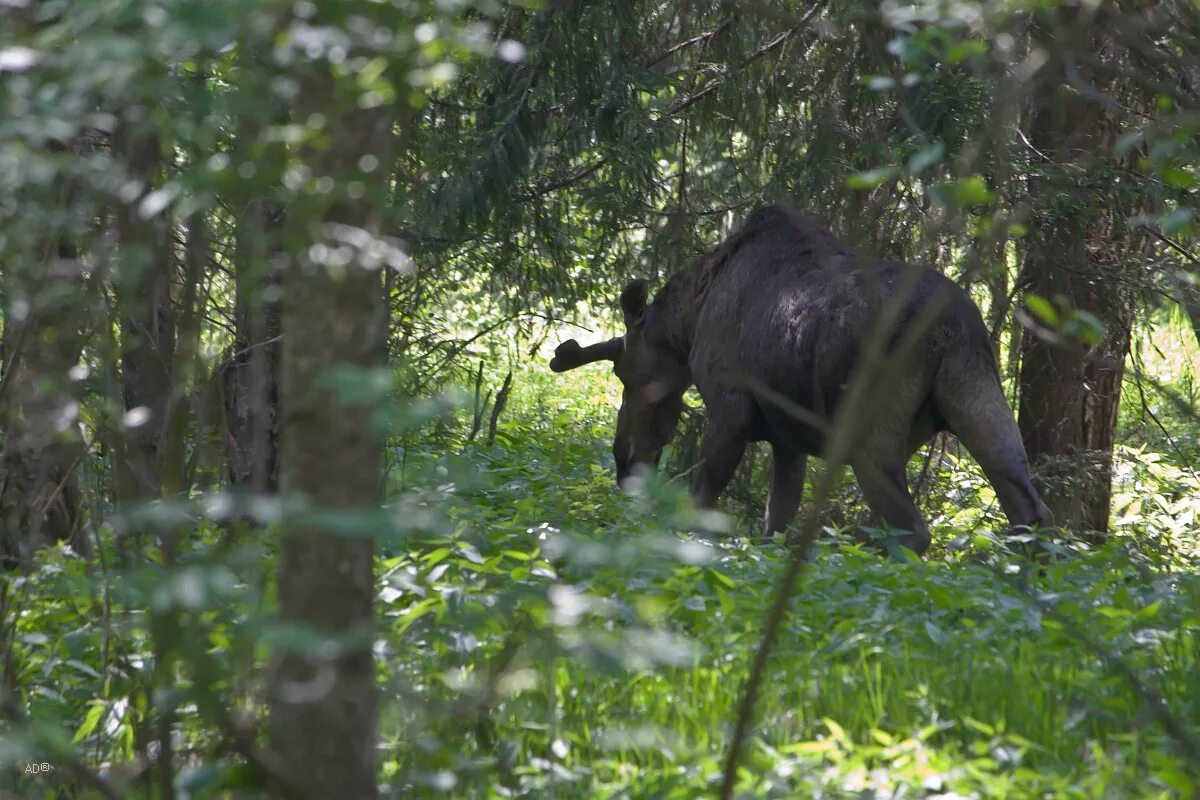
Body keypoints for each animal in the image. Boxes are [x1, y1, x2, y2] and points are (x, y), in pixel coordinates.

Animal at [552, 205, 1051, 556]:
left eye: (624, 372)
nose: (623, 460)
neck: (689, 319)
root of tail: (950, 327)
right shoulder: (785, 438)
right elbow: (775, 523)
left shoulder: (731, 407)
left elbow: (702, 503)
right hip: (976, 393)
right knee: (1031, 512)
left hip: (869, 432)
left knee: (911, 530)